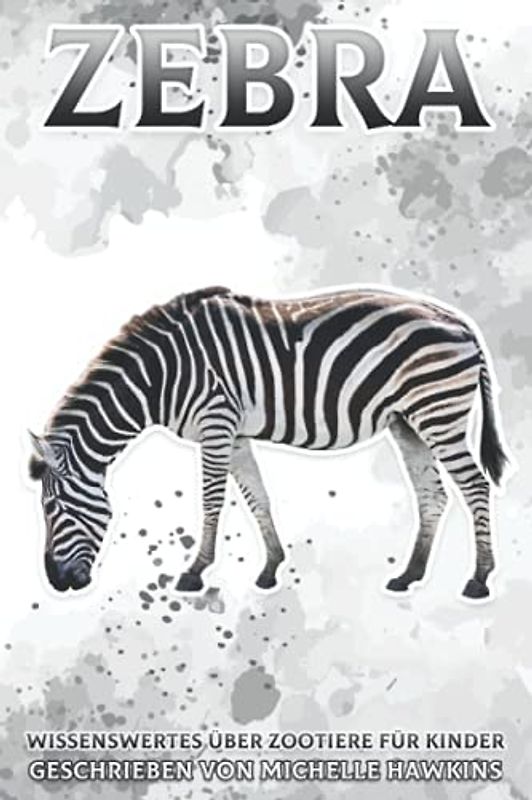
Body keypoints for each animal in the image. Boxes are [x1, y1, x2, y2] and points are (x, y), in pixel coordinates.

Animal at [29, 285, 509, 600]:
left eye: (53, 508)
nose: (55, 582)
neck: (158, 376)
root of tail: (460, 321)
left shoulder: (216, 422)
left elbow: (211, 499)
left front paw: (195, 572)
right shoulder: (235, 432)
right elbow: (256, 496)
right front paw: (271, 568)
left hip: (438, 411)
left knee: (475, 485)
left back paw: (479, 579)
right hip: (407, 420)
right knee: (433, 493)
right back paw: (409, 575)